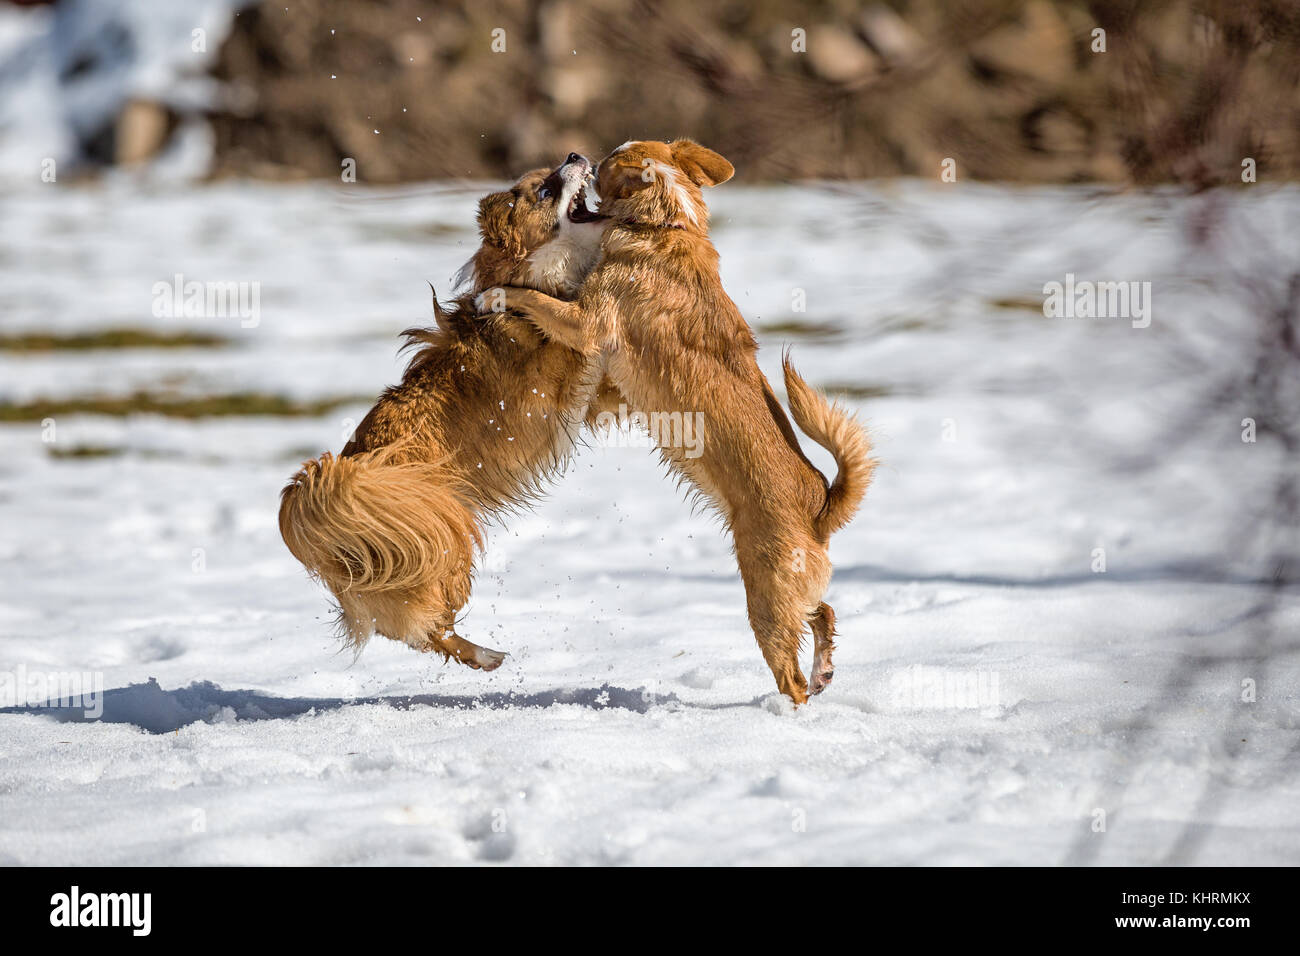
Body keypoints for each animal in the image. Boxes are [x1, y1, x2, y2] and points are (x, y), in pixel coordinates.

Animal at [278, 153, 608, 671]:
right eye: (545, 191)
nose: (575, 156)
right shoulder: (563, 373)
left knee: (409, 631)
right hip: (443, 542)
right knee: (431, 628)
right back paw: (487, 656)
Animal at [480, 140, 873, 702]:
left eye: (606, 163)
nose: (579, 153)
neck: (669, 224)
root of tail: (820, 510)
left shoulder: (587, 323)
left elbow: (533, 296)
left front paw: (496, 294)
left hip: (766, 601)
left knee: (791, 672)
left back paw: (790, 704)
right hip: (797, 597)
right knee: (824, 613)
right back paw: (824, 671)